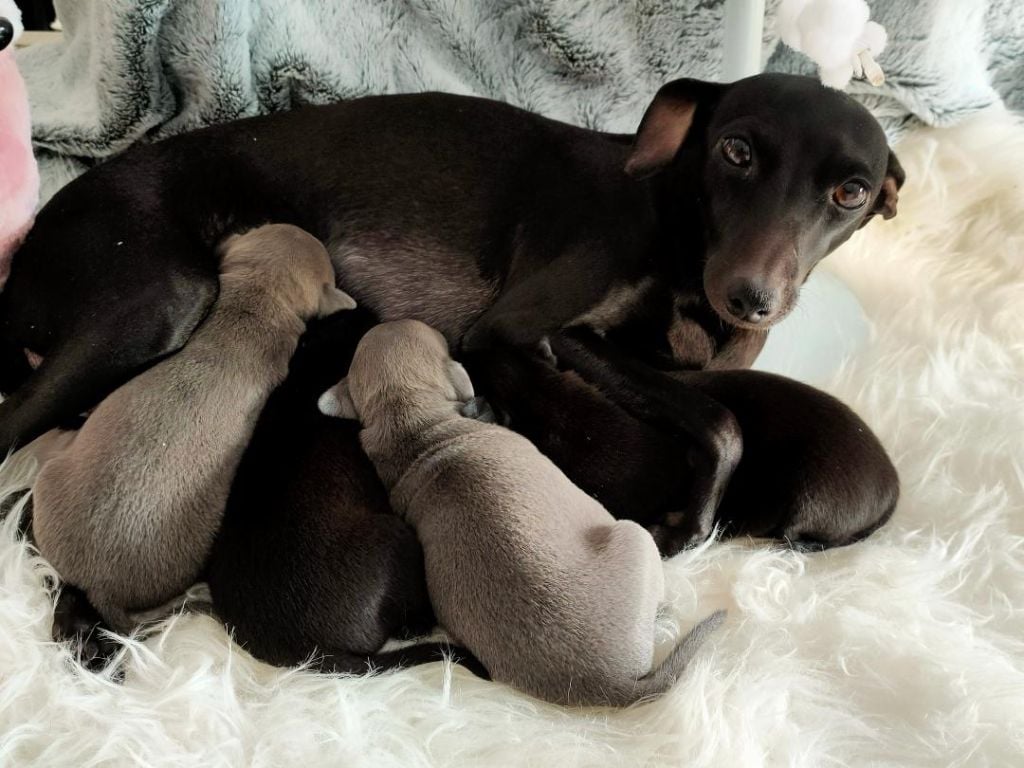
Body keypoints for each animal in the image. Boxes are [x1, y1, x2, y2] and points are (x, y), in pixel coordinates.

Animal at [0, 72, 897, 544]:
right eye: (735, 149)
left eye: (851, 193)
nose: (751, 299)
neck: (676, 228)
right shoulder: (526, 327)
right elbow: (720, 420)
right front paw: (691, 522)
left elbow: (711, 399)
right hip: (158, 300)